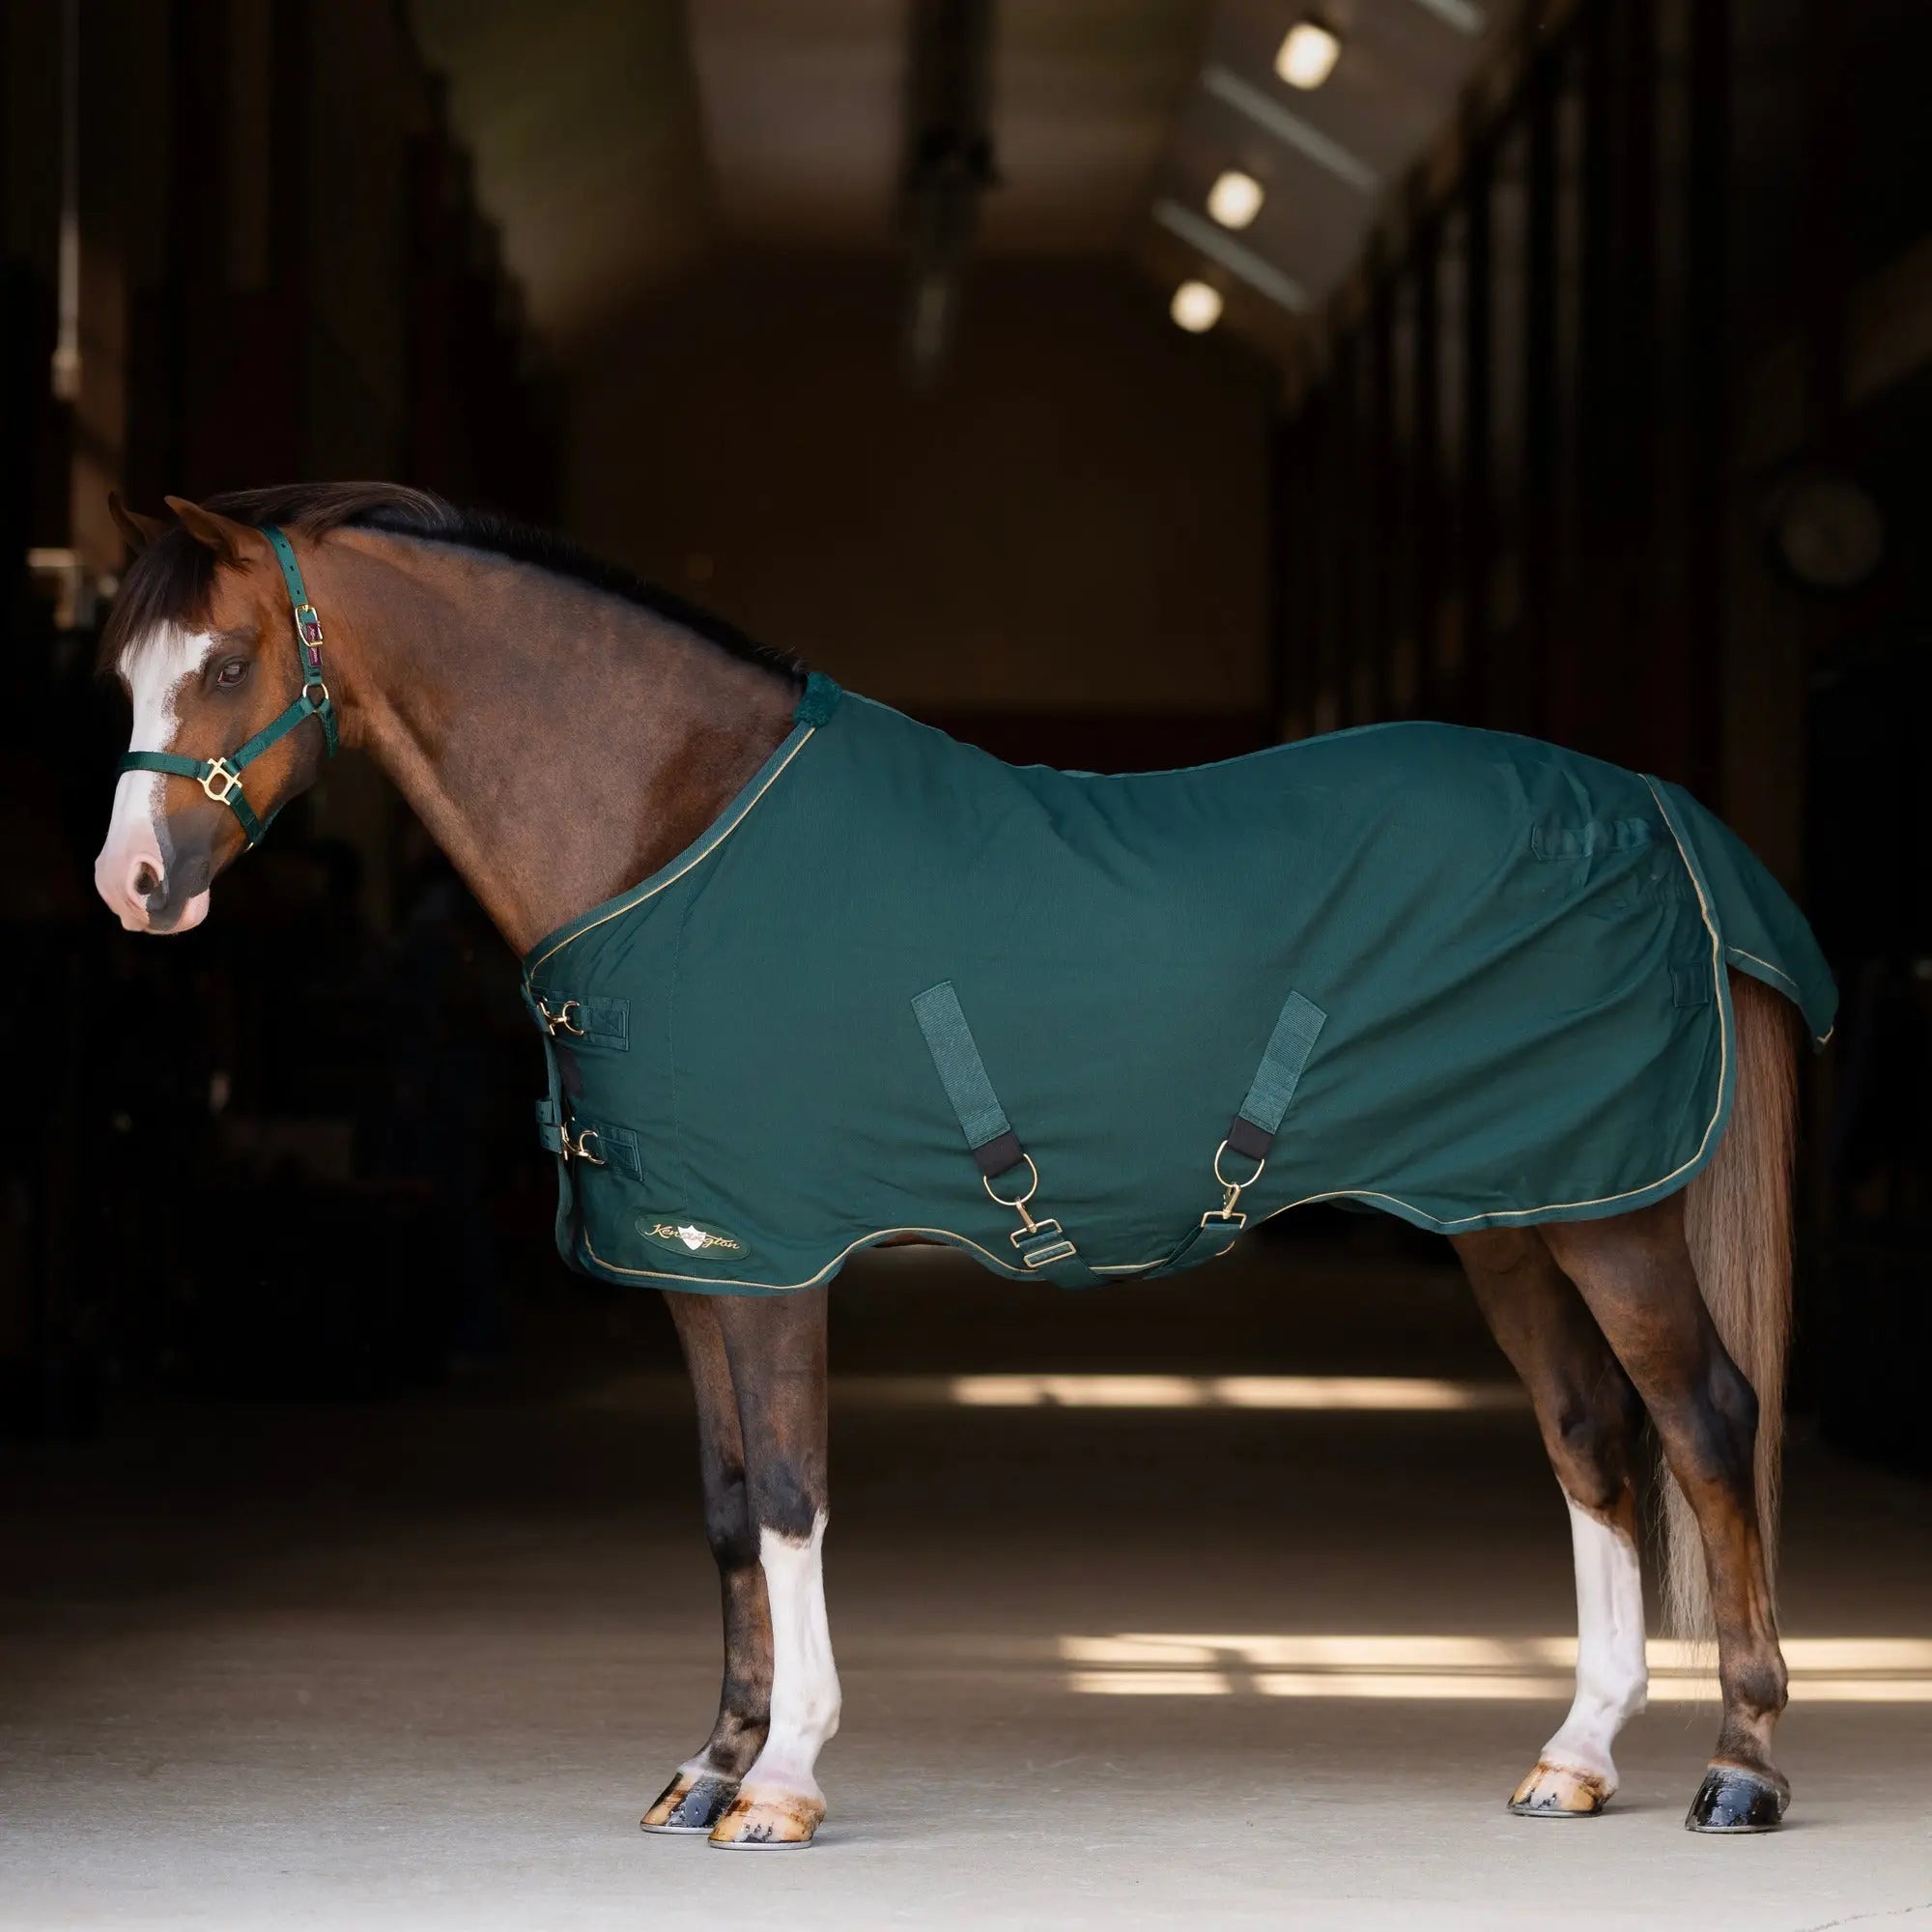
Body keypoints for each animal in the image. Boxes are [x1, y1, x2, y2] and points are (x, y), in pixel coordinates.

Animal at [93, 482, 1831, 1849]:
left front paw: (783, 1782)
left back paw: (1742, 1769)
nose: (134, 885)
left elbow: (791, 1498)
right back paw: (1576, 1756)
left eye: (230, 663)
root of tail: (1656, 807)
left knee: (1704, 1423)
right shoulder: (696, 1261)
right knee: (1591, 1439)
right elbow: (725, 1509)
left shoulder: (778, 1264)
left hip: (1613, 1218)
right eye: (118, 671)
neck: (674, 827)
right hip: (1517, 1215)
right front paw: (706, 1769)